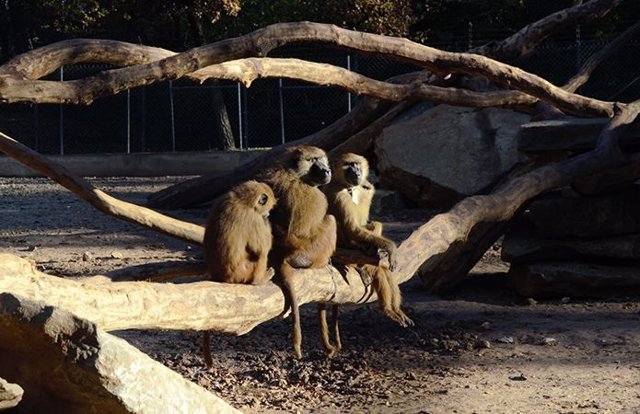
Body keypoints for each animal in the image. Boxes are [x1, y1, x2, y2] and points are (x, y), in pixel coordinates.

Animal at [201, 180, 276, 368]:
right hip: (245, 271)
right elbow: (262, 249)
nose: (268, 214)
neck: (242, 200)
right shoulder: (253, 219)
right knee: (261, 255)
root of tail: (222, 277)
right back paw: (260, 280)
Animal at [260, 146, 340, 360]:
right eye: (313, 161)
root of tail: (284, 256)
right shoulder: (316, 196)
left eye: (321, 159)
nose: (326, 171)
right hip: (312, 253)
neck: (296, 173)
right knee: (331, 220)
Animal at [320, 152, 416, 356]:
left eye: (357, 165)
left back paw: (396, 310)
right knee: (378, 270)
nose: (356, 173)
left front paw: (380, 247)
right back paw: (387, 309)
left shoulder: (364, 190)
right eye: (349, 165)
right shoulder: (339, 194)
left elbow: (370, 224)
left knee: (384, 271)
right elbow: (353, 228)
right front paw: (391, 248)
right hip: (343, 249)